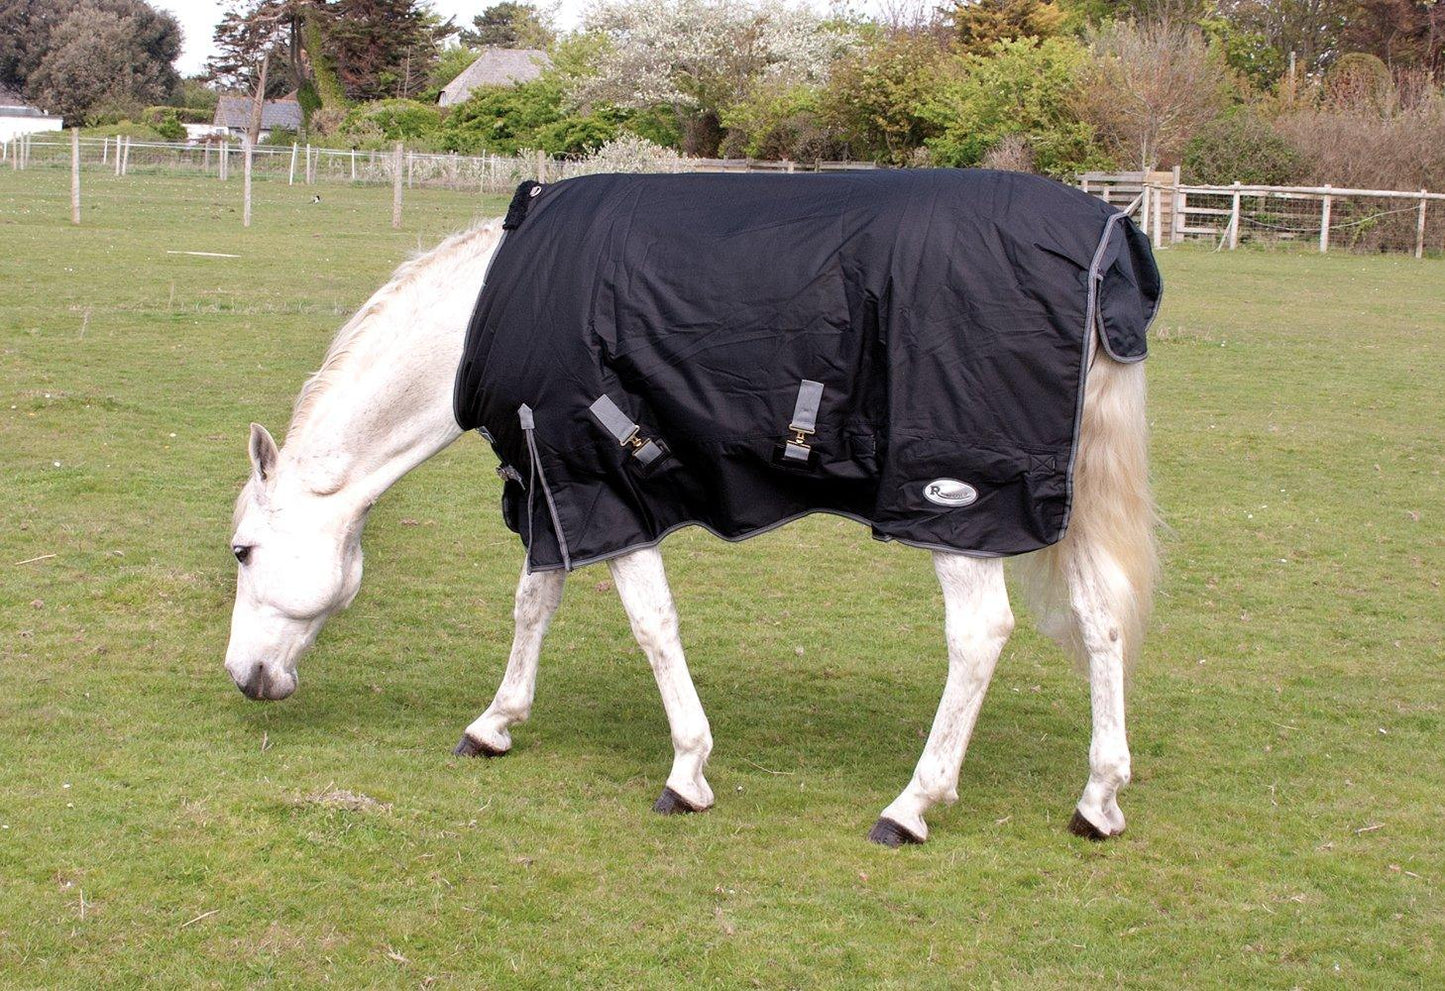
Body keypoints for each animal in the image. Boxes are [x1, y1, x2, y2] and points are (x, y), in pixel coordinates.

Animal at [225, 183, 1158, 846]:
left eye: (241, 551)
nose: (244, 677)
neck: (492, 306)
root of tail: (1101, 239)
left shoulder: (604, 485)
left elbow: (651, 624)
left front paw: (686, 771)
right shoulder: (555, 485)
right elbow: (535, 601)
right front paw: (495, 723)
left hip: (954, 510)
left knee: (978, 637)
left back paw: (912, 804)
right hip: (1059, 503)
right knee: (1101, 621)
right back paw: (1097, 796)